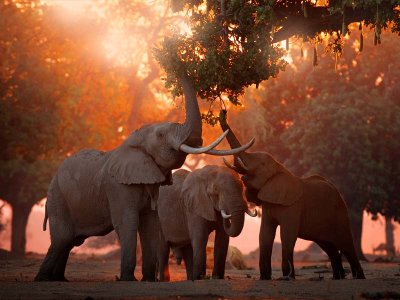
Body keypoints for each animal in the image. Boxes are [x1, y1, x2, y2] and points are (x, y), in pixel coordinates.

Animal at [35, 75, 253, 282]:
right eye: (161, 134)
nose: (223, 112)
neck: (133, 141)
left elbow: (150, 224)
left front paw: (147, 280)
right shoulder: (117, 187)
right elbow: (128, 222)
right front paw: (128, 280)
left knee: (68, 242)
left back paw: (59, 279)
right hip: (57, 197)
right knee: (62, 238)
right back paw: (43, 279)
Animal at [219, 110, 366, 282]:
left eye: (262, 164)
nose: (223, 112)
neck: (280, 168)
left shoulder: (292, 206)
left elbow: (287, 235)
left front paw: (288, 277)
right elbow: (265, 235)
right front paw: (265, 278)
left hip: (340, 213)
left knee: (346, 245)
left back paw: (359, 277)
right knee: (328, 246)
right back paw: (338, 277)